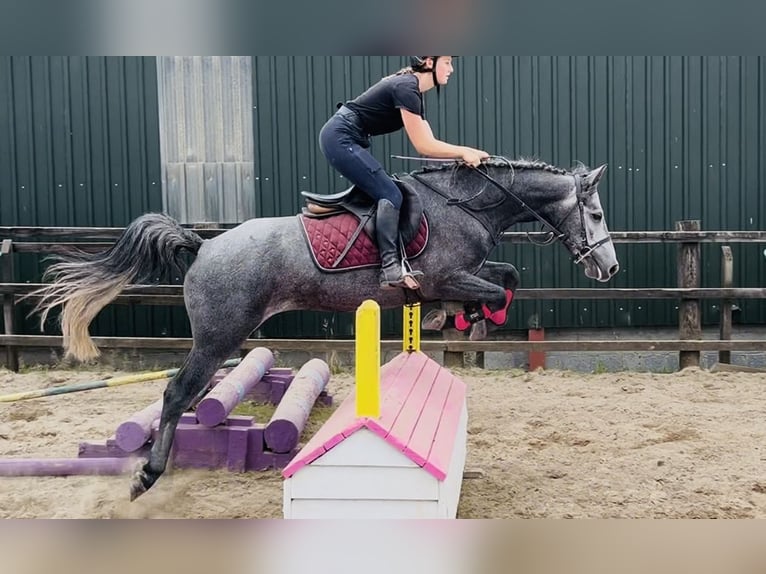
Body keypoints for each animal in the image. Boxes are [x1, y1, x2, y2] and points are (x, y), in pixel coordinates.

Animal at [30, 157, 619, 500]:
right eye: (595, 214)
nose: (608, 268)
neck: (466, 205)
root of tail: (202, 246)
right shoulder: (446, 274)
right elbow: (497, 289)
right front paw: (465, 317)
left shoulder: (464, 273)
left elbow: (508, 277)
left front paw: (460, 317)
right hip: (220, 335)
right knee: (178, 393)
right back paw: (148, 474)